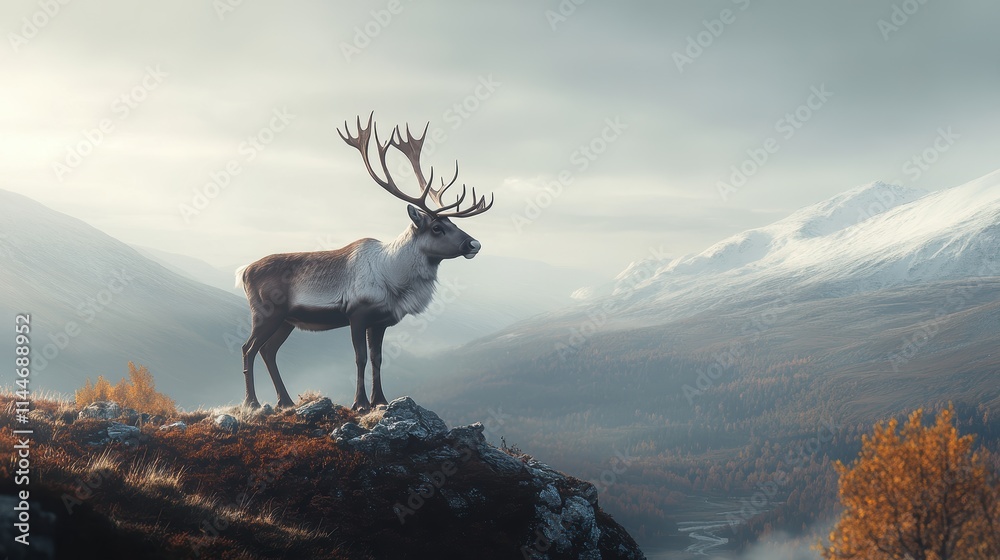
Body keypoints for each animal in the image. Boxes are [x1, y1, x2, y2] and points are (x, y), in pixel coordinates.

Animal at [235, 113, 493, 411]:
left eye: (453, 224)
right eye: (437, 227)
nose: (474, 244)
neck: (394, 278)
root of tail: (243, 271)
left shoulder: (380, 321)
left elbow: (377, 359)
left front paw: (379, 400)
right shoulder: (357, 314)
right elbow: (360, 357)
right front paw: (360, 403)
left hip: (287, 320)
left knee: (268, 350)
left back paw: (285, 401)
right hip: (266, 313)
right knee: (249, 348)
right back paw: (252, 402)